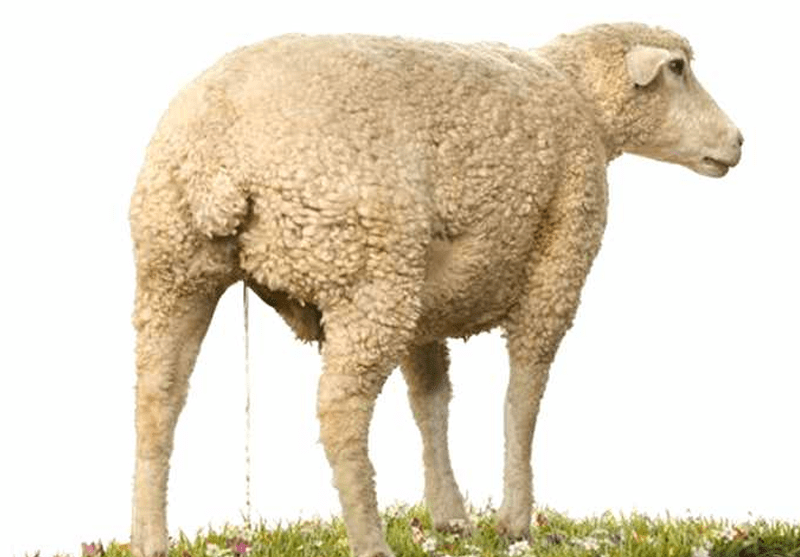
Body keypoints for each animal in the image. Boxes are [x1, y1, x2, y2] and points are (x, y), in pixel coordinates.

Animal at [129, 22, 742, 557]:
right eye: (679, 68)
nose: (737, 141)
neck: (580, 99)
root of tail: (218, 155)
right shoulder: (558, 262)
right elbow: (523, 397)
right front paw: (515, 521)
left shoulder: (428, 302)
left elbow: (431, 400)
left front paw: (449, 516)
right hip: (371, 275)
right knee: (340, 410)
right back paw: (370, 541)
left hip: (175, 267)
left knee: (157, 399)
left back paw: (149, 540)